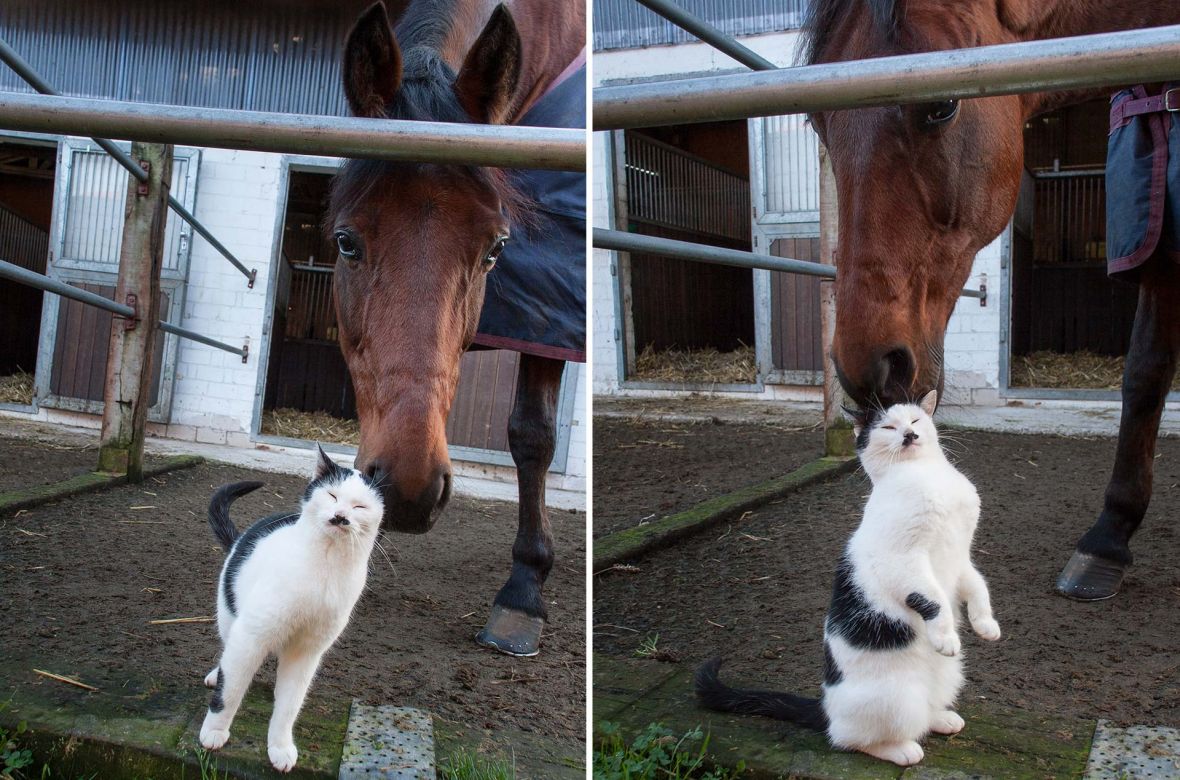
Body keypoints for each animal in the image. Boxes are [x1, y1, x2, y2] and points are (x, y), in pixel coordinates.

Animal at [198, 443, 382, 774]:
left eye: (360, 507)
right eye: (332, 495)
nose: (340, 516)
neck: (326, 566)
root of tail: (242, 537)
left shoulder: (306, 652)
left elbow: (289, 705)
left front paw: (280, 746)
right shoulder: (250, 636)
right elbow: (230, 691)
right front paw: (215, 731)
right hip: (230, 617)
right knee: (227, 655)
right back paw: (217, 675)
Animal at [325, 0, 582, 656]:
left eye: (496, 249)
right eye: (346, 241)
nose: (409, 488)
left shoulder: (551, 317)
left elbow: (532, 434)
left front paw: (523, 589)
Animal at [693, 389, 1000, 764]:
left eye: (915, 419)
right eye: (887, 426)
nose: (909, 435)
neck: (923, 474)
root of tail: (827, 708)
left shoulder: (961, 558)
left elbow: (978, 586)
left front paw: (986, 625)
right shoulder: (902, 561)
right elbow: (934, 599)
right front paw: (945, 637)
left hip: (949, 678)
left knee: (921, 713)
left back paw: (941, 718)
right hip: (897, 699)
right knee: (850, 739)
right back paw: (901, 749)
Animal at [807, 0, 1180, 597]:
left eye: (942, 105)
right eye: (819, 121)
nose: (870, 368)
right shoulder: (1160, 241)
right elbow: (1145, 377)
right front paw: (1108, 540)